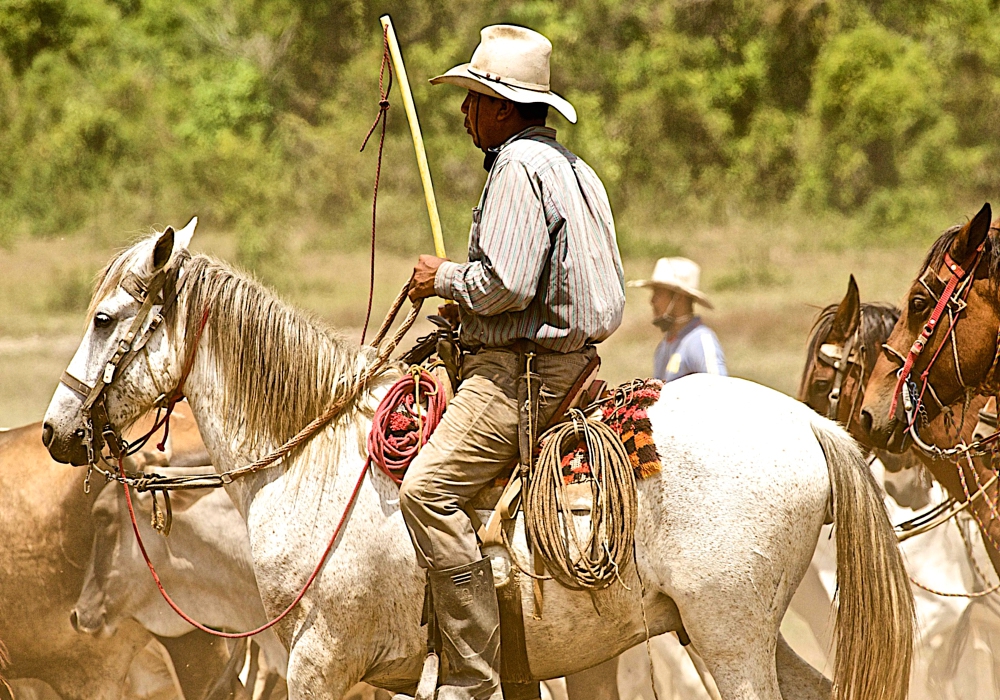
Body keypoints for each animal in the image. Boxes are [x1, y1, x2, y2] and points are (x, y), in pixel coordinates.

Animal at [41, 226, 916, 700]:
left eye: (105, 317)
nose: (56, 432)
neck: (313, 464)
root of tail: (809, 425)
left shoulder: (322, 660)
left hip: (727, 635)